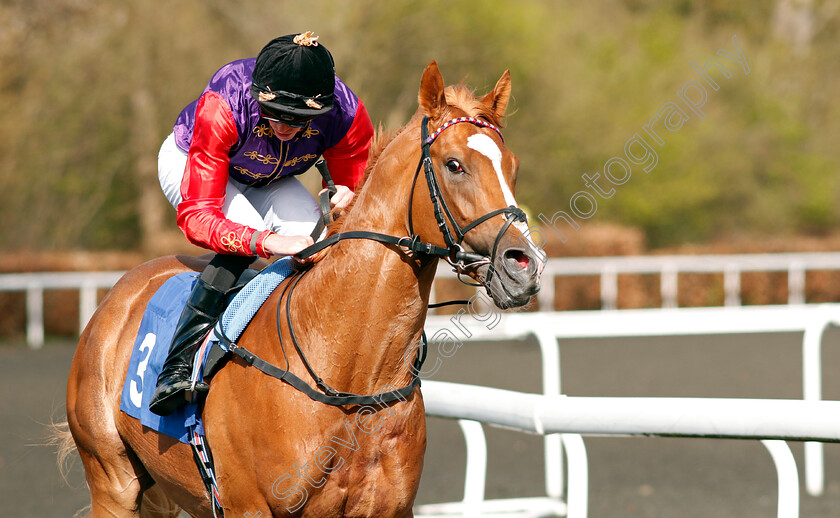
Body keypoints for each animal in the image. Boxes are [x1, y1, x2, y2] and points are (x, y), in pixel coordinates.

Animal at [62, 63, 540, 516]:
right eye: (454, 164)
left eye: (514, 166)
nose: (523, 264)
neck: (352, 377)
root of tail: (119, 292)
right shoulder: (248, 506)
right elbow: (200, 213)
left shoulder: (393, 507)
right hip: (112, 480)